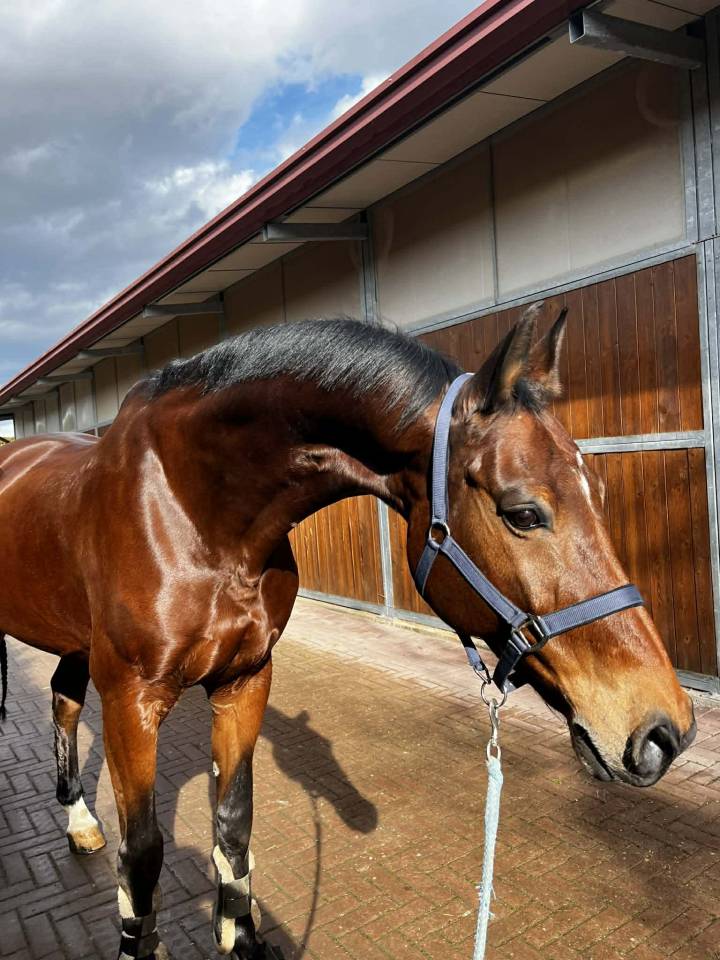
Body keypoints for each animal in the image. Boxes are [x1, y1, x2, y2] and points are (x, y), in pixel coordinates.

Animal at [0, 308, 696, 960]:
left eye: (597, 489)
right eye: (523, 513)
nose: (666, 730)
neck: (190, 506)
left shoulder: (243, 681)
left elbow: (233, 822)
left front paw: (242, 938)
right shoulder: (131, 698)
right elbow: (142, 856)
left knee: (62, 699)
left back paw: (80, 823)